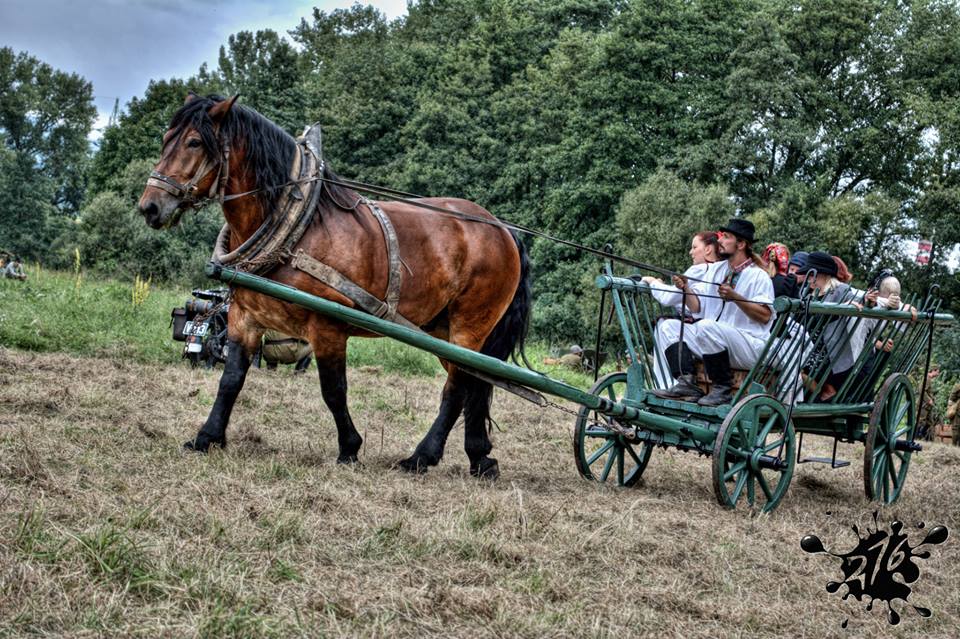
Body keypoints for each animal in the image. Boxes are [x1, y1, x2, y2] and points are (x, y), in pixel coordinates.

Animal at [138, 92, 528, 478]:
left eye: (193, 142)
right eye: (166, 139)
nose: (149, 207)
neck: (299, 229)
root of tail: (503, 230)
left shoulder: (327, 327)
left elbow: (333, 390)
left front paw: (349, 448)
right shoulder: (244, 318)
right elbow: (231, 378)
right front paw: (207, 437)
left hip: (469, 325)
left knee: (456, 388)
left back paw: (421, 457)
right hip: (441, 330)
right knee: (474, 383)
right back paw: (480, 457)